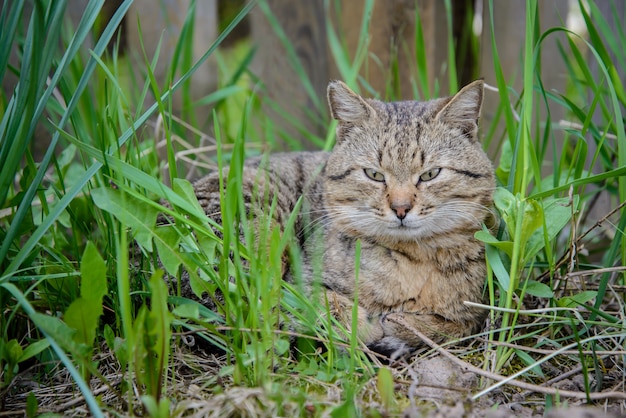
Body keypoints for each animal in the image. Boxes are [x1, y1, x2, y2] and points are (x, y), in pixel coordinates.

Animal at [188, 80, 494, 358]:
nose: (401, 208)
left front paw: (403, 324)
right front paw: (371, 328)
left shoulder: (474, 311)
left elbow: (451, 326)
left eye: (430, 174)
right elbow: (329, 305)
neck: (413, 259)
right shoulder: (300, 281)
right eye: (374, 175)